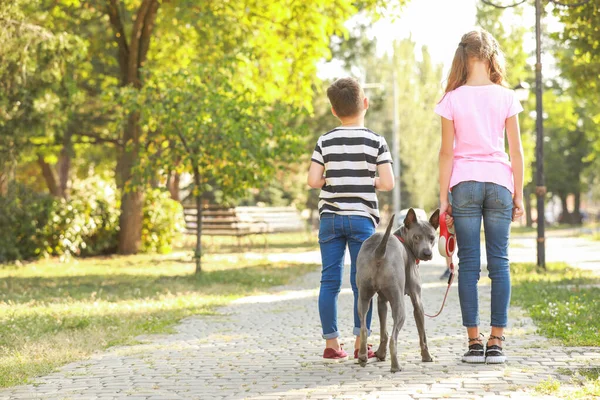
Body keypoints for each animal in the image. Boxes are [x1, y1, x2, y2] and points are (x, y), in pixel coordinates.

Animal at [356, 209, 440, 372]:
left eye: (432, 238)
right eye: (416, 237)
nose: (427, 253)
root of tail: (379, 251)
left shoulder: (382, 301)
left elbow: (383, 331)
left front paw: (380, 354)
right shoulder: (417, 301)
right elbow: (422, 334)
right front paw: (426, 356)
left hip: (363, 297)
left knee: (363, 329)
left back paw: (363, 356)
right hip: (399, 305)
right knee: (393, 339)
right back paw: (395, 366)